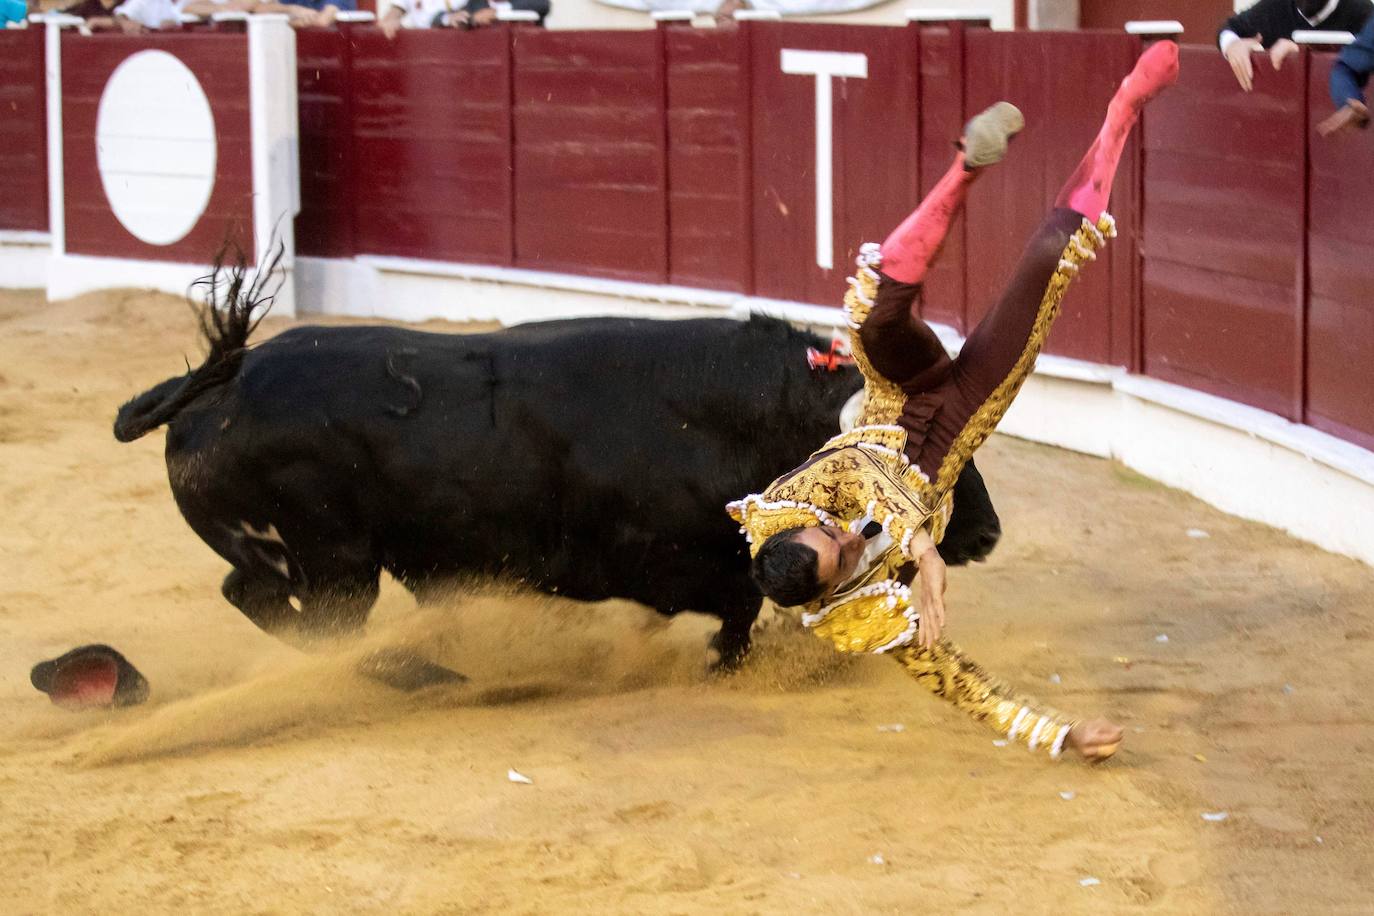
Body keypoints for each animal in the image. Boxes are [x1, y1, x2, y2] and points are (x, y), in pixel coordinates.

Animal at [118, 299, 1000, 667]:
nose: (988, 533)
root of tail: (211, 389)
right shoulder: (668, 562)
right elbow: (737, 606)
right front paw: (724, 660)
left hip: (309, 562)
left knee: (250, 594)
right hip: (335, 564)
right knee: (310, 619)